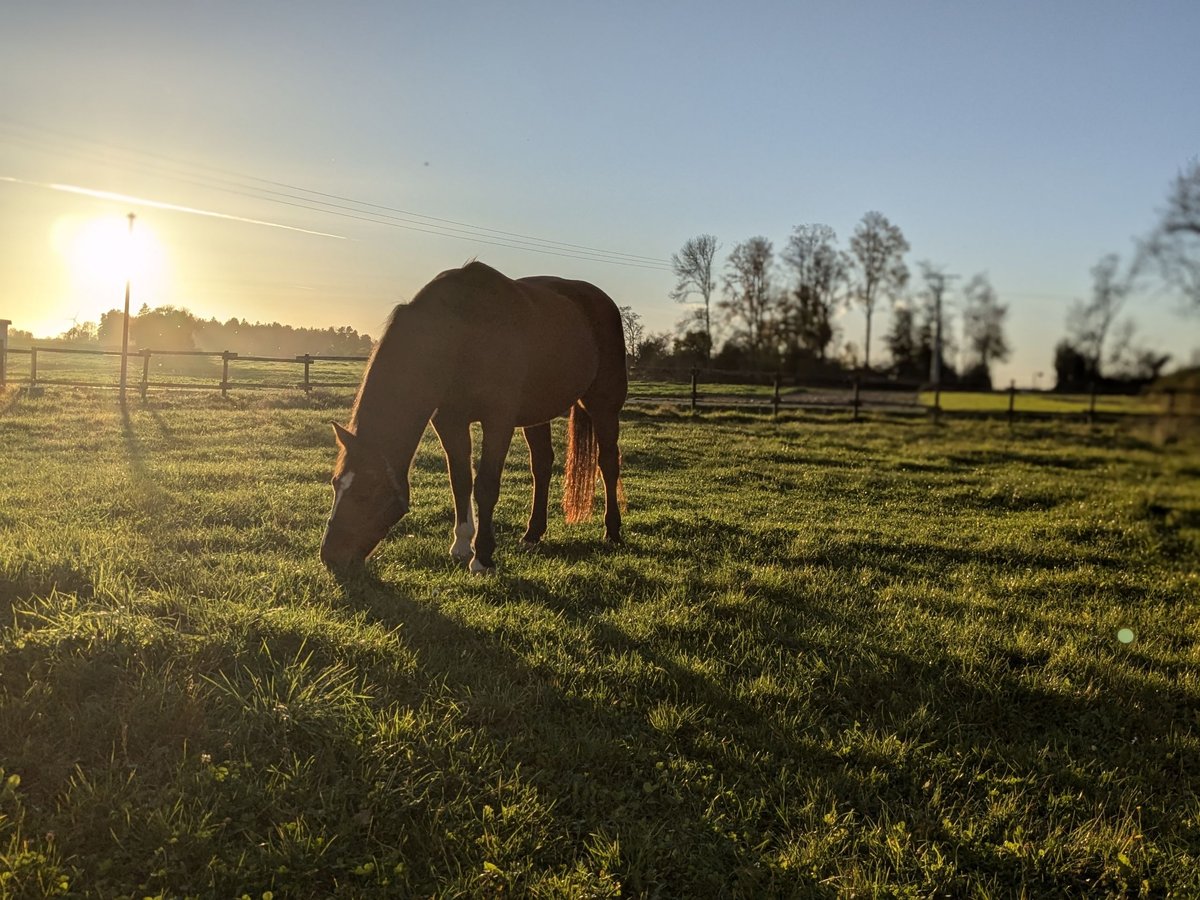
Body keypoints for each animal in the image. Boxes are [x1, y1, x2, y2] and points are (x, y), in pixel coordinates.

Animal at [324, 262, 633, 571]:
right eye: (336, 483)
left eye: (366, 491)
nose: (330, 555)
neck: (461, 332)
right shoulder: (449, 422)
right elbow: (461, 480)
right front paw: (462, 546)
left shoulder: (498, 421)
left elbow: (485, 485)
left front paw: (482, 556)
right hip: (537, 415)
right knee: (542, 466)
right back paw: (532, 534)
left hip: (604, 407)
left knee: (608, 463)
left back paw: (612, 532)